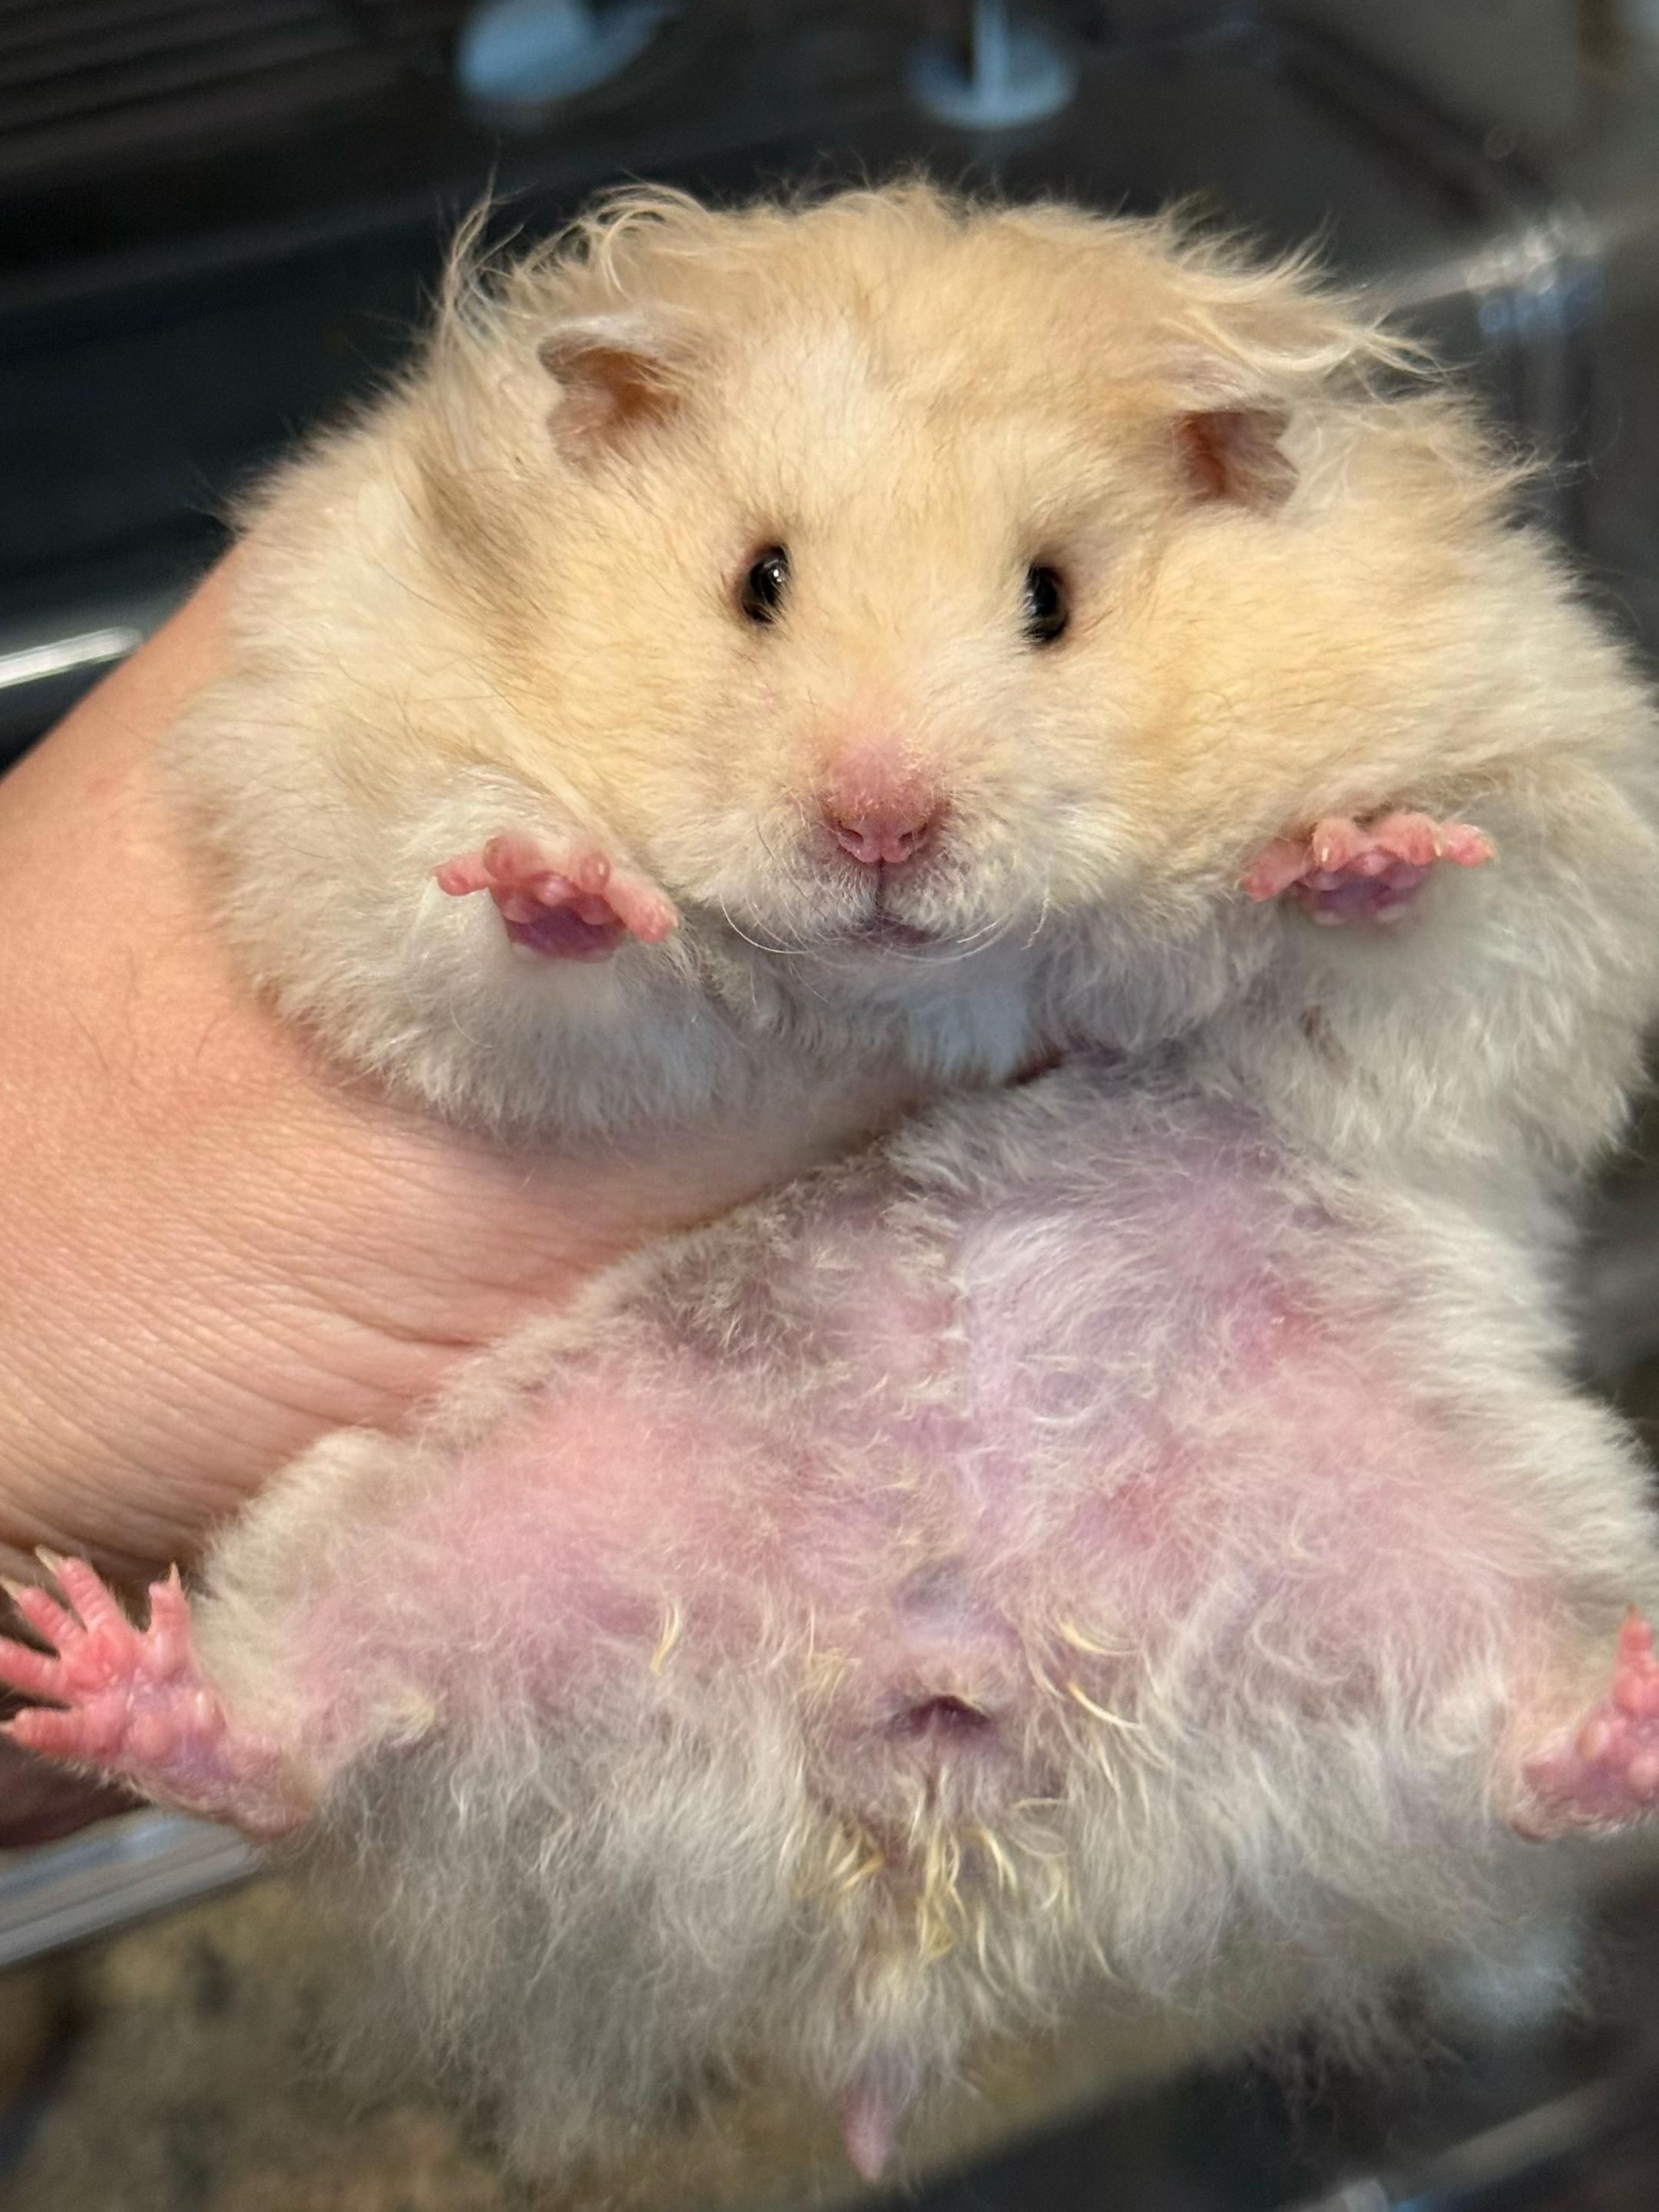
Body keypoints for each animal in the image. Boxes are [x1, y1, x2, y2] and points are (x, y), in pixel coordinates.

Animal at [165, 184, 1659, 1189]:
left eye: (1051, 600)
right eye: (758, 580)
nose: (879, 824)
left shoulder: (1551, 840)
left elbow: (1436, 927)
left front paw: (1363, 848)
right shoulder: (335, 755)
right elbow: (490, 931)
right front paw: (559, 879)